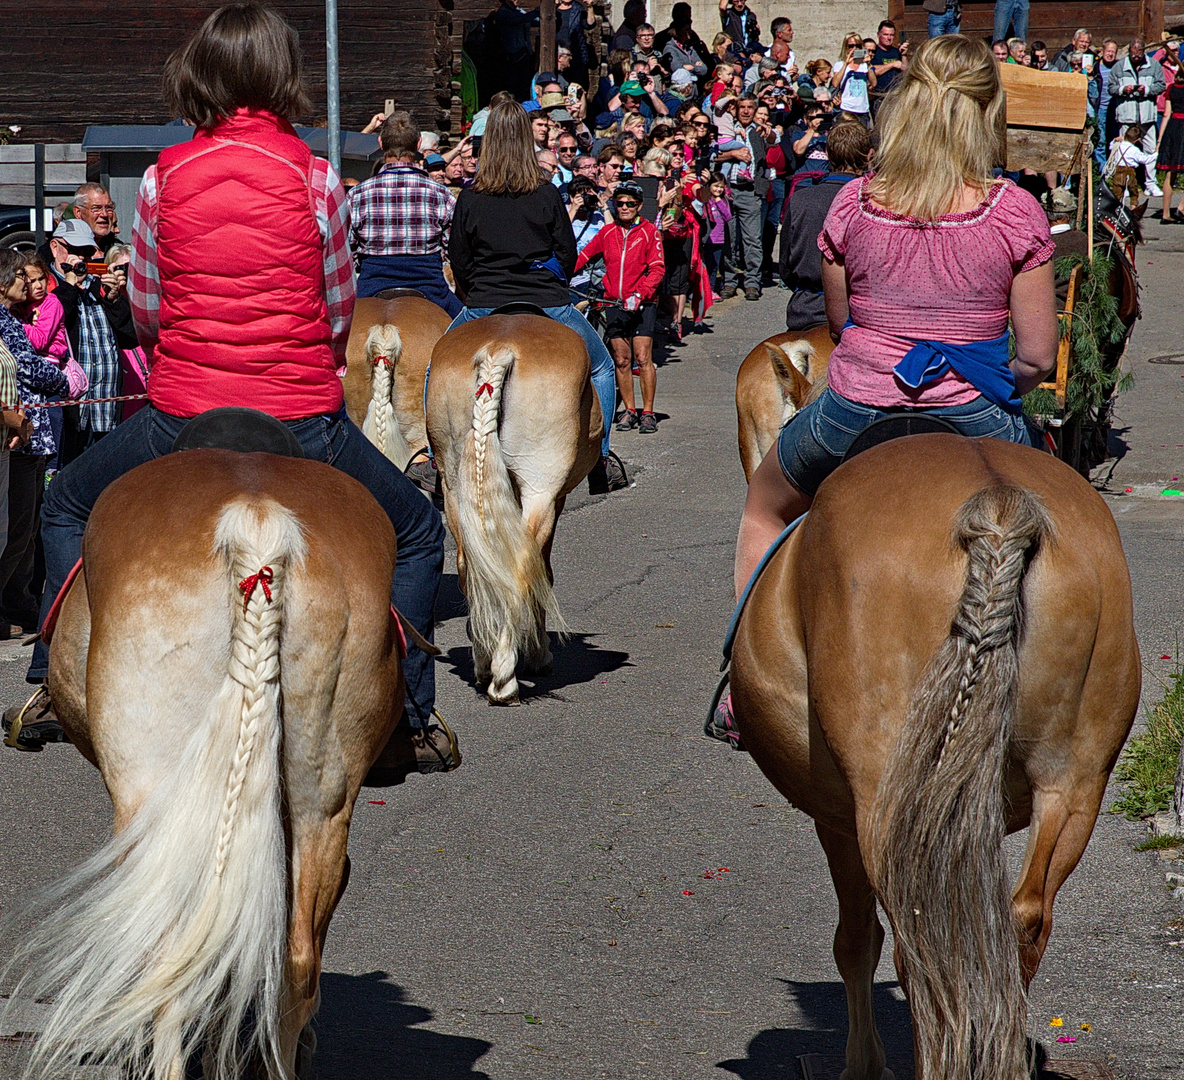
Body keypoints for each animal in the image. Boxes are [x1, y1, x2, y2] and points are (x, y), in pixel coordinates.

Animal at [426, 310, 601, 710]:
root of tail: (499, 348)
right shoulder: (554, 498)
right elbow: (543, 570)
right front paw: (538, 653)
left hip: (454, 488)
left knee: (470, 565)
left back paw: (484, 662)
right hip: (540, 488)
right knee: (521, 567)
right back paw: (505, 676)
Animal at [729, 435, 1136, 1080]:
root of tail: (998, 509)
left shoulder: (836, 818)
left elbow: (856, 940)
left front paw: (863, 1064)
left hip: (886, 802)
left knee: (918, 947)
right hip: (1076, 784)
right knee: (1021, 922)